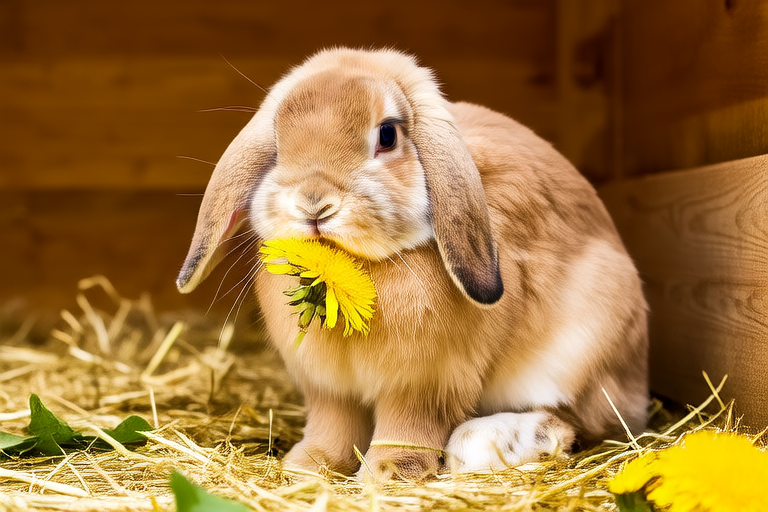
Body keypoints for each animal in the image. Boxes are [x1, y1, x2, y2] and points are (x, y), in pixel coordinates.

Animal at [177, 47, 649, 480]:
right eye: (276, 139)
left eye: (387, 135)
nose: (313, 203)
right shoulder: (329, 389)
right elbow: (333, 426)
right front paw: (309, 467)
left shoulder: (423, 385)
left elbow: (407, 427)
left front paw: (387, 473)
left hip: (584, 349)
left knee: (580, 422)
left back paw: (493, 442)